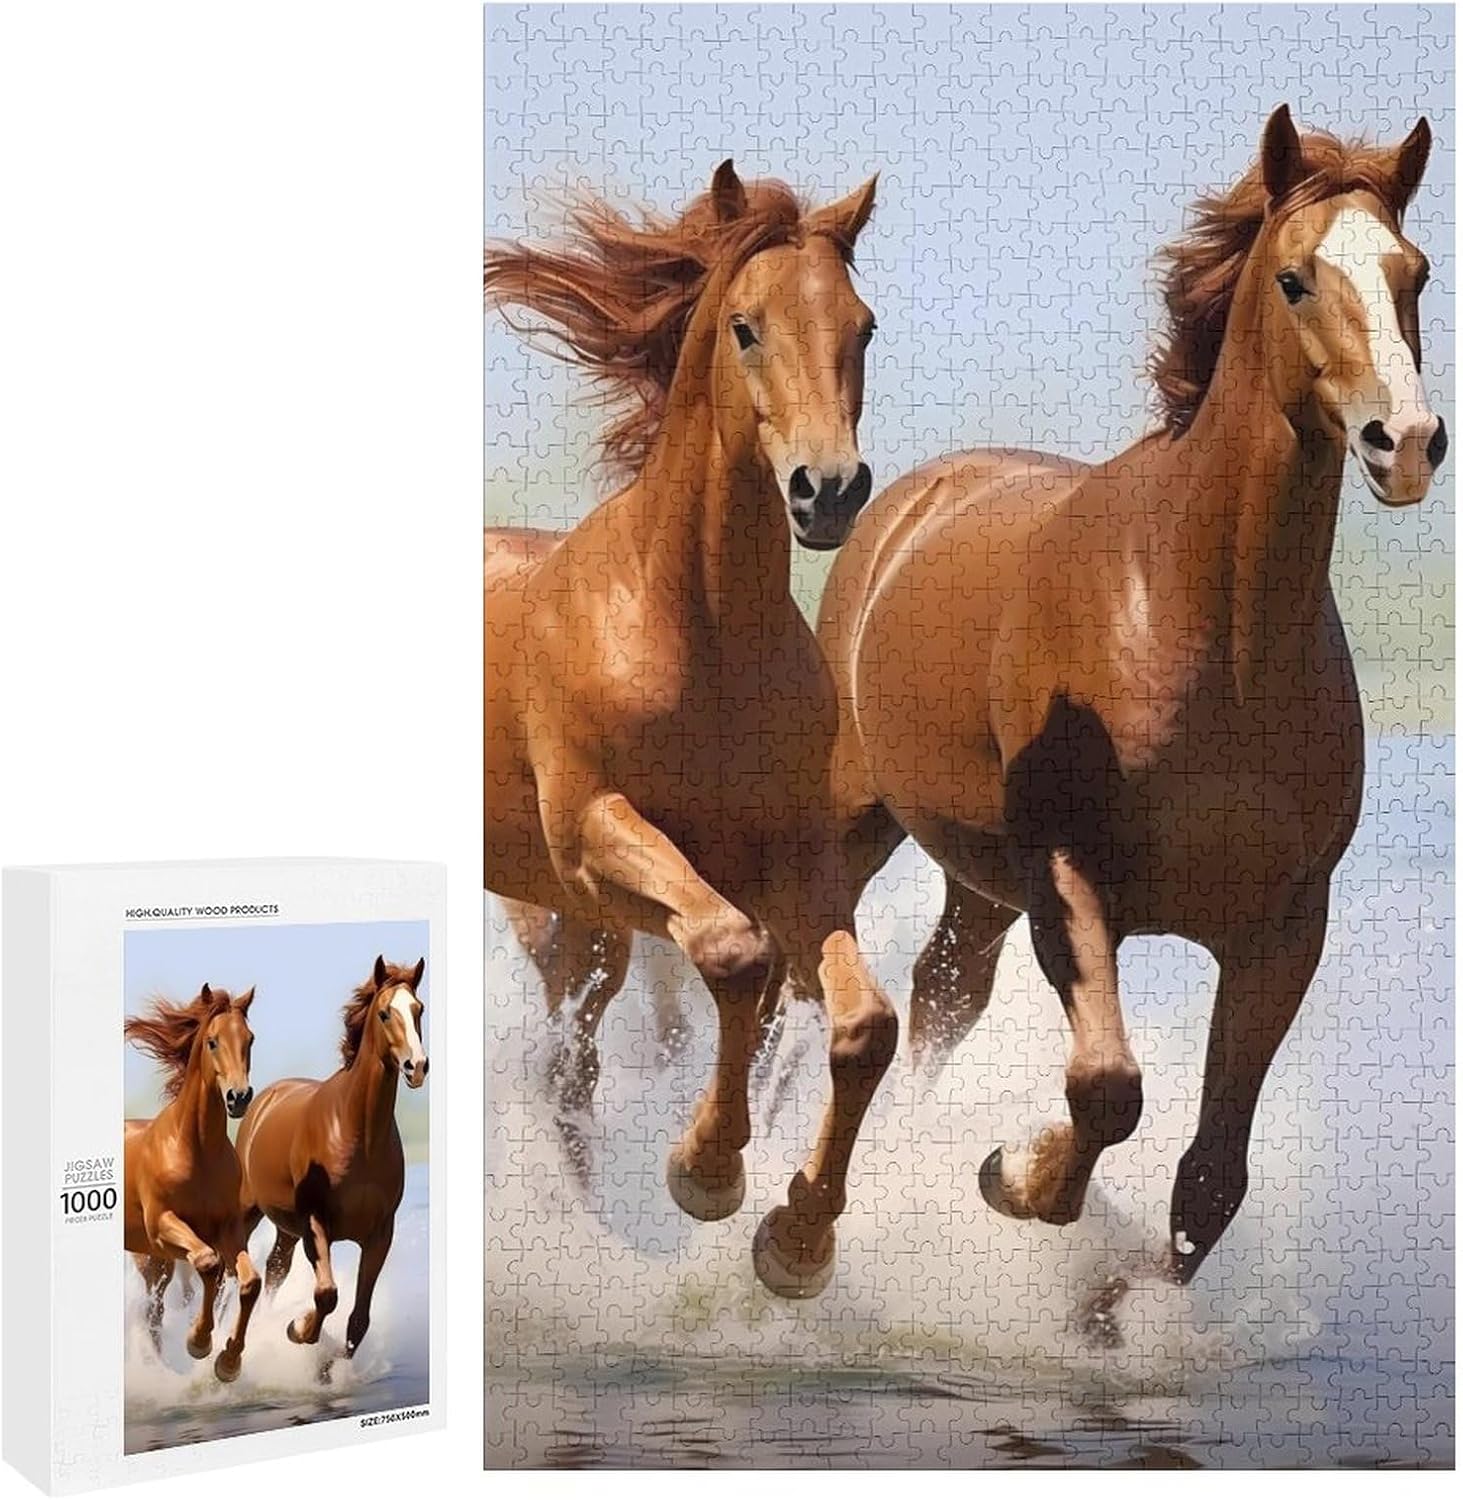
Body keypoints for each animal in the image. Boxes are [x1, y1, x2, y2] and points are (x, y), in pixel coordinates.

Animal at [123, 984, 260, 1382]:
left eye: (250, 1038)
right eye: (212, 1041)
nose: (238, 1097)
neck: (194, 1150)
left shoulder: (228, 1229)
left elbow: (248, 1281)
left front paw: (228, 1362)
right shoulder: (162, 1226)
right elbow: (208, 1263)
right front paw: (198, 1341)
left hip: (160, 1262)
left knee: (155, 1311)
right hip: (149, 1257)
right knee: (153, 1312)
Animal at [236, 956, 427, 1359]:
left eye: (419, 1009)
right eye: (385, 1013)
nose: (416, 1066)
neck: (358, 1135)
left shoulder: (379, 1234)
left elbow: (358, 1320)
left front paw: (328, 1365)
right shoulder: (316, 1223)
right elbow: (326, 1295)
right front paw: (296, 1329)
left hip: (285, 1229)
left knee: (276, 1268)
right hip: (248, 1212)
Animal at [484, 160, 893, 1298]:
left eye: (863, 327)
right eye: (746, 327)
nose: (828, 490)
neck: (693, 629)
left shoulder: (796, 859)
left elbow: (860, 1024)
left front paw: (795, 1240)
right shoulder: (591, 838)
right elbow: (732, 954)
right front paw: (704, 1171)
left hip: (586, 937)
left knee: (572, 1068)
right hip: (560, 912)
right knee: (571, 1067)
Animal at [815, 107, 1445, 1291]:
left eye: (1413, 272)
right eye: (1293, 278)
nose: (1407, 442)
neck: (1211, 632)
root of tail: (907, 503)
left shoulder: (1281, 930)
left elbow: (1209, 1177)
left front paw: (1113, 1303)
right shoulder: (1069, 878)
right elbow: (1107, 1089)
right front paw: (1009, 1177)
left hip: (979, 886)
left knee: (943, 993)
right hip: (859, 820)